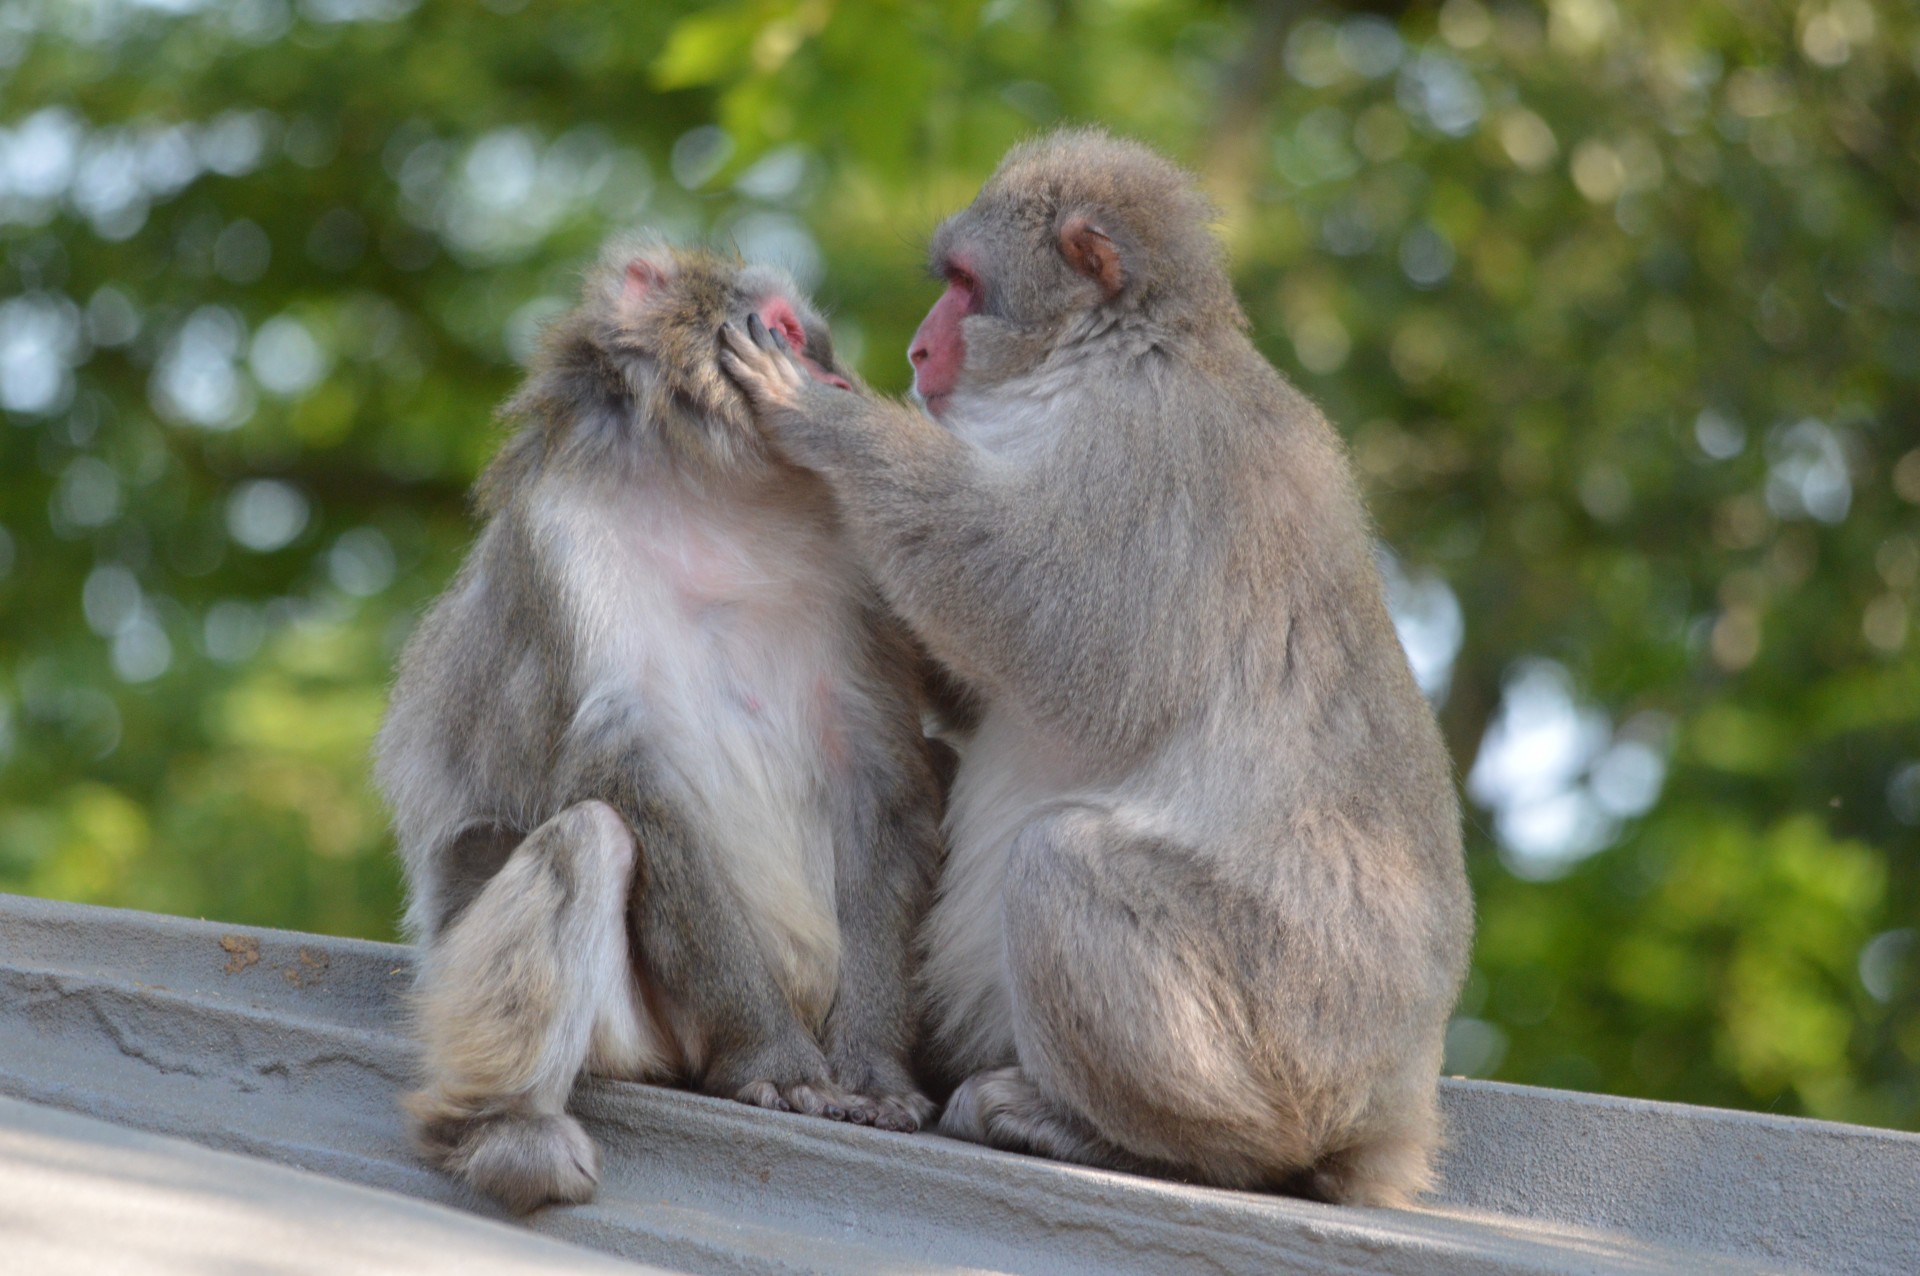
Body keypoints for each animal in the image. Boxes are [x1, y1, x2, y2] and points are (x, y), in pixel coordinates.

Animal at [370, 236, 940, 1212]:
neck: (715, 493)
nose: (837, 381)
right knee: (587, 841)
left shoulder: (854, 563)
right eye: (789, 331)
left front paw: (873, 1072)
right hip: (635, 1034)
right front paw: (772, 1059)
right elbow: (622, 766)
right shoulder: (561, 545)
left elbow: (881, 773)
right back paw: (501, 1129)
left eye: (819, 345)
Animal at [725, 129, 1474, 1205]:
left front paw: (831, 421)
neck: (1107, 350)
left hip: (1292, 1027)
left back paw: (1165, 1141)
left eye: (963, 284)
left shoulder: (1149, 446)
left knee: (1060, 862)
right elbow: (986, 683)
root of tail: (1395, 1104)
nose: (915, 351)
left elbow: (1074, 641)